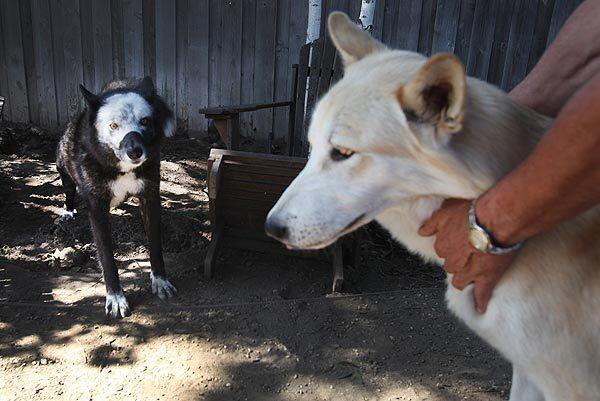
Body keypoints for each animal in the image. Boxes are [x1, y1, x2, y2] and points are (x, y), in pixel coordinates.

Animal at [55, 76, 178, 318]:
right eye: (113, 126)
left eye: (144, 121)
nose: (135, 151)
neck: (121, 170)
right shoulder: (97, 211)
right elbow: (107, 258)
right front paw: (115, 297)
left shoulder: (150, 199)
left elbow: (156, 247)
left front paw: (160, 281)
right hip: (63, 169)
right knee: (69, 190)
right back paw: (68, 210)